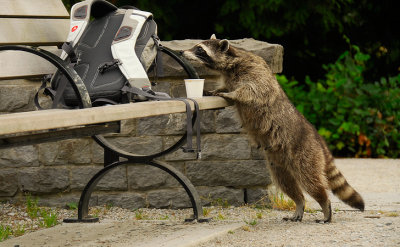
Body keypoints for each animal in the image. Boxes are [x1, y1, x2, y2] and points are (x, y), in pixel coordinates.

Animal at [183, 34, 364, 222]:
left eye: (200, 49)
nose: (182, 53)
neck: (231, 64)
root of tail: (317, 137)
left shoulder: (255, 73)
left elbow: (251, 91)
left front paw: (230, 93)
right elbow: (228, 87)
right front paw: (216, 90)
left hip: (305, 152)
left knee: (311, 180)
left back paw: (325, 204)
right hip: (278, 161)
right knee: (286, 182)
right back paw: (299, 202)